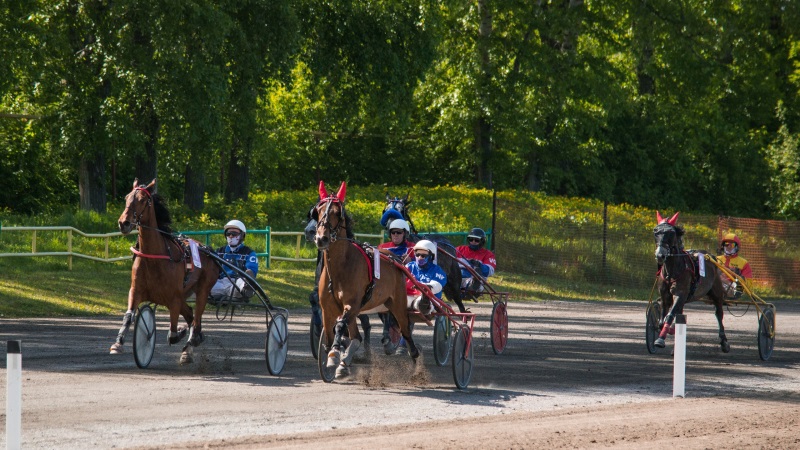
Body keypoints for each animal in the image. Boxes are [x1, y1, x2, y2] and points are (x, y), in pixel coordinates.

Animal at [111, 178, 219, 364]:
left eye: (142, 200)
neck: (155, 257)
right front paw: (118, 343)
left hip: (203, 289)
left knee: (196, 318)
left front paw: (182, 332)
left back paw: (192, 342)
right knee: (190, 315)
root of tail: (207, 250)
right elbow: (129, 316)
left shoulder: (173, 298)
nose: (124, 223)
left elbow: (173, 335)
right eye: (126, 197)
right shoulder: (136, 290)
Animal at [312, 180, 418, 376]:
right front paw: (333, 358)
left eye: (337, 213)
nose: (321, 238)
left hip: (397, 303)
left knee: (405, 331)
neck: (340, 267)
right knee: (357, 336)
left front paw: (334, 356)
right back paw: (345, 362)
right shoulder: (328, 309)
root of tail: (395, 258)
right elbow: (330, 335)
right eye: (318, 211)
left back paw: (414, 361)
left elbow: (340, 327)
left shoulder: (352, 305)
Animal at [648, 211, 732, 352]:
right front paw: (668, 331)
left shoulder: (680, 294)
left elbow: (669, 316)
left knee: (719, 313)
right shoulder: (665, 296)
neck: (672, 271)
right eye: (655, 231)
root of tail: (710, 256)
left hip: (716, 292)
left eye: (671, 233)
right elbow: (661, 321)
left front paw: (660, 340)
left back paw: (724, 341)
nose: (660, 255)